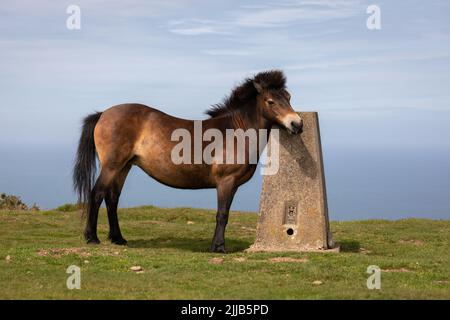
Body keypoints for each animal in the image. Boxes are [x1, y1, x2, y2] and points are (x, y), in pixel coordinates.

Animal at [73, 70, 302, 252]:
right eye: (270, 101)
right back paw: (92, 237)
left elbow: (224, 214)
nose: (297, 124)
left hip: (124, 167)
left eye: (288, 97)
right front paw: (218, 247)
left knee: (112, 198)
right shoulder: (225, 182)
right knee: (97, 194)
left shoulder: (233, 186)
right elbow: (222, 214)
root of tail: (103, 114)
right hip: (112, 166)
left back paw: (118, 239)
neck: (236, 132)